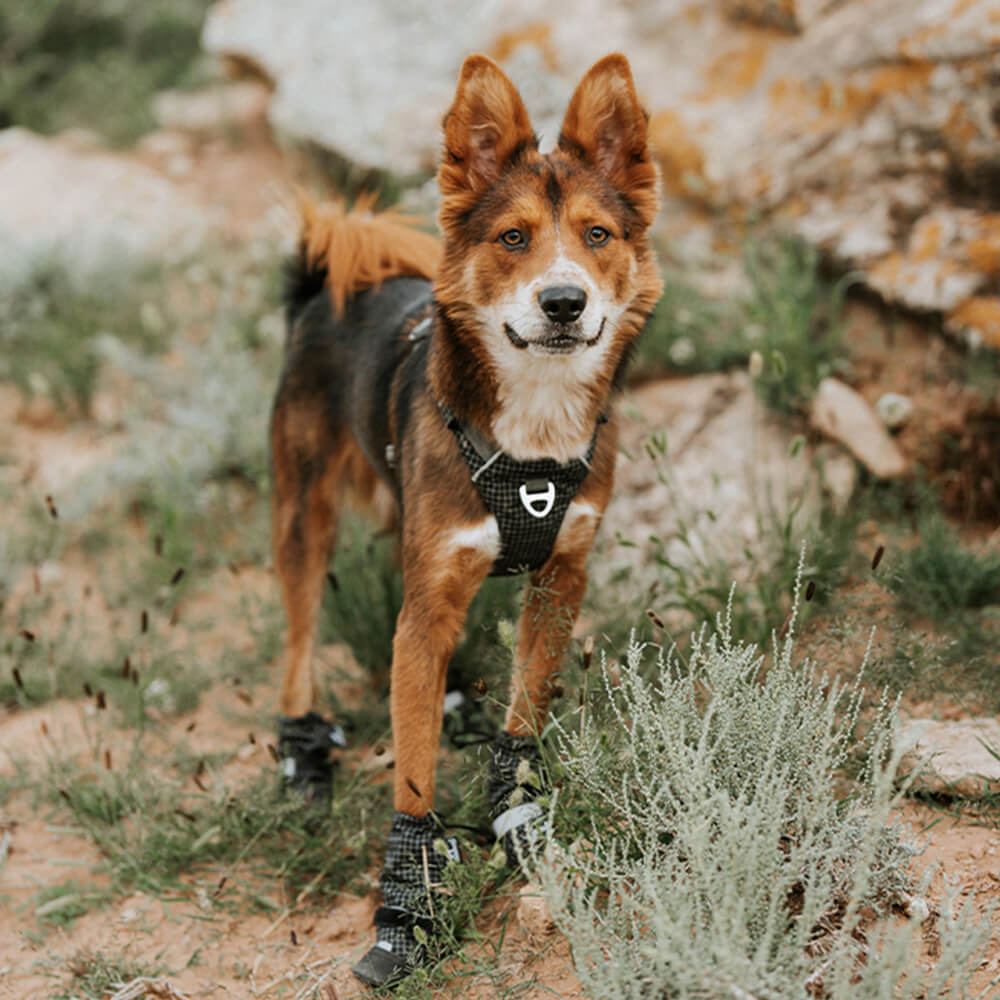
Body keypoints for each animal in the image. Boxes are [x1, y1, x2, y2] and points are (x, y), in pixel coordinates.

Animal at [270, 52, 664, 984]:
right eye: (513, 238)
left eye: (598, 235)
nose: (563, 301)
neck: (532, 440)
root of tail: (322, 281)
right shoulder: (432, 590)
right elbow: (411, 770)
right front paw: (405, 910)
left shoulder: (561, 578)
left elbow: (525, 714)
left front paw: (518, 818)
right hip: (302, 514)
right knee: (299, 639)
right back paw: (302, 754)